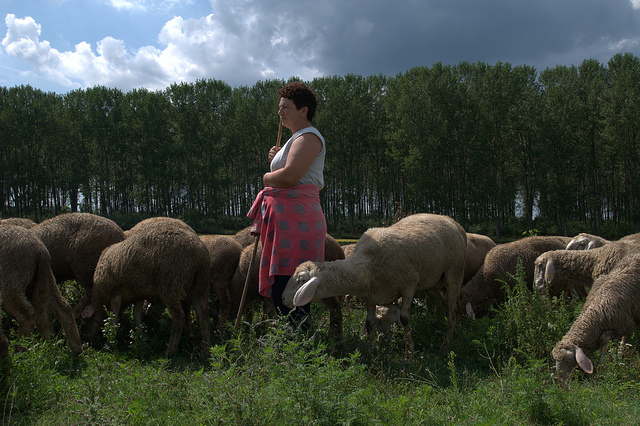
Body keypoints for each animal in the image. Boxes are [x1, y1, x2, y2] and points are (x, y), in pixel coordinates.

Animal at [0, 226, 82, 356]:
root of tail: (40, 249)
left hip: (12, 280)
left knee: (27, 314)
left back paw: (20, 351)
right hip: (45, 277)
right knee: (63, 307)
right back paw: (76, 349)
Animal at [81, 218, 211, 358]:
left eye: (89, 319)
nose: (87, 338)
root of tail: (199, 254)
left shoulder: (116, 290)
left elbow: (114, 317)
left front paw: (108, 344)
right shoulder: (137, 292)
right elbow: (137, 315)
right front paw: (139, 339)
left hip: (171, 285)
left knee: (179, 316)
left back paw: (169, 351)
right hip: (199, 286)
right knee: (203, 314)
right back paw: (205, 349)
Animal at [282, 213, 468, 350]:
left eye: (301, 279)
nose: (283, 298)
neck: (367, 264)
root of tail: (452, 221)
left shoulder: (409, 286)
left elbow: (404, 318)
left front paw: (410, 350)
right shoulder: (371, 296)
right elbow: (369, 323)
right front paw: (369, 350)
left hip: (454, 273)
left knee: (452, 309)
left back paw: (447, 344)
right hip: (433, 281)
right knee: (444, 305)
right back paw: (453, 333)